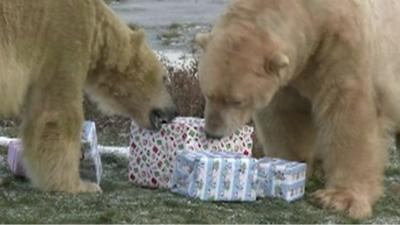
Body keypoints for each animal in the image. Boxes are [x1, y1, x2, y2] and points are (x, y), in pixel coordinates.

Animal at [0, 0, 176, 193]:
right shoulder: (63, 38)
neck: (97, 26)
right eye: (164, 78)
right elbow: (59, 110)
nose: (174, 111)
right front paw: (81, 185)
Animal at [196, 0, 400, 219]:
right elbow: (285, 116)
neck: (313, 13)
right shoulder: (292, 77)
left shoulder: (344, 46)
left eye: (237, 101)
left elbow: (350, 114)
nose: (212, 132)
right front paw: (290, 167)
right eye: (207, 93)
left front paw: (340, 199)